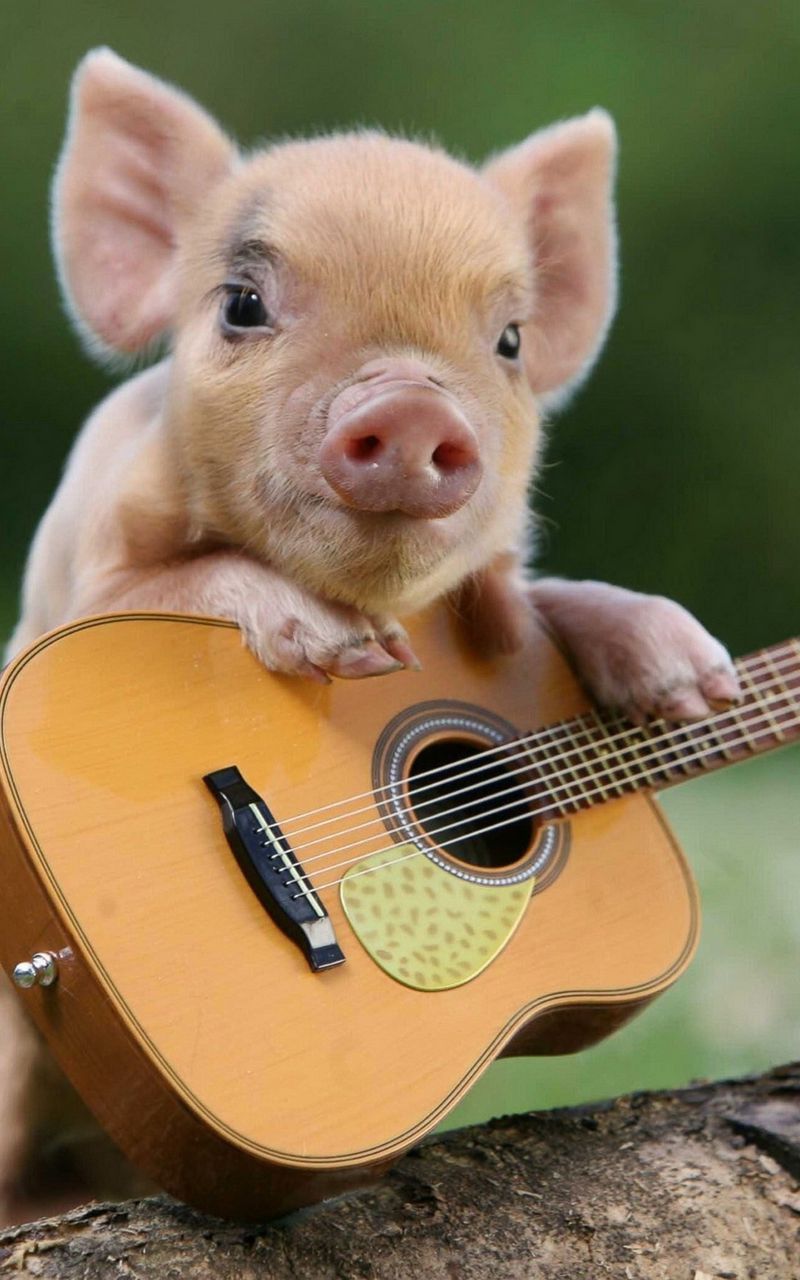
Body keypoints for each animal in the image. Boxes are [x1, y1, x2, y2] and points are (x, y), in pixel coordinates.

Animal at [0, 49, 739, 1221]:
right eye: (242, 303)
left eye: (510, 340)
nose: (411, 404)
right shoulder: (74, 585)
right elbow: (189, 579)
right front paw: (339, 645)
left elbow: (538, 602)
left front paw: (693, 677)